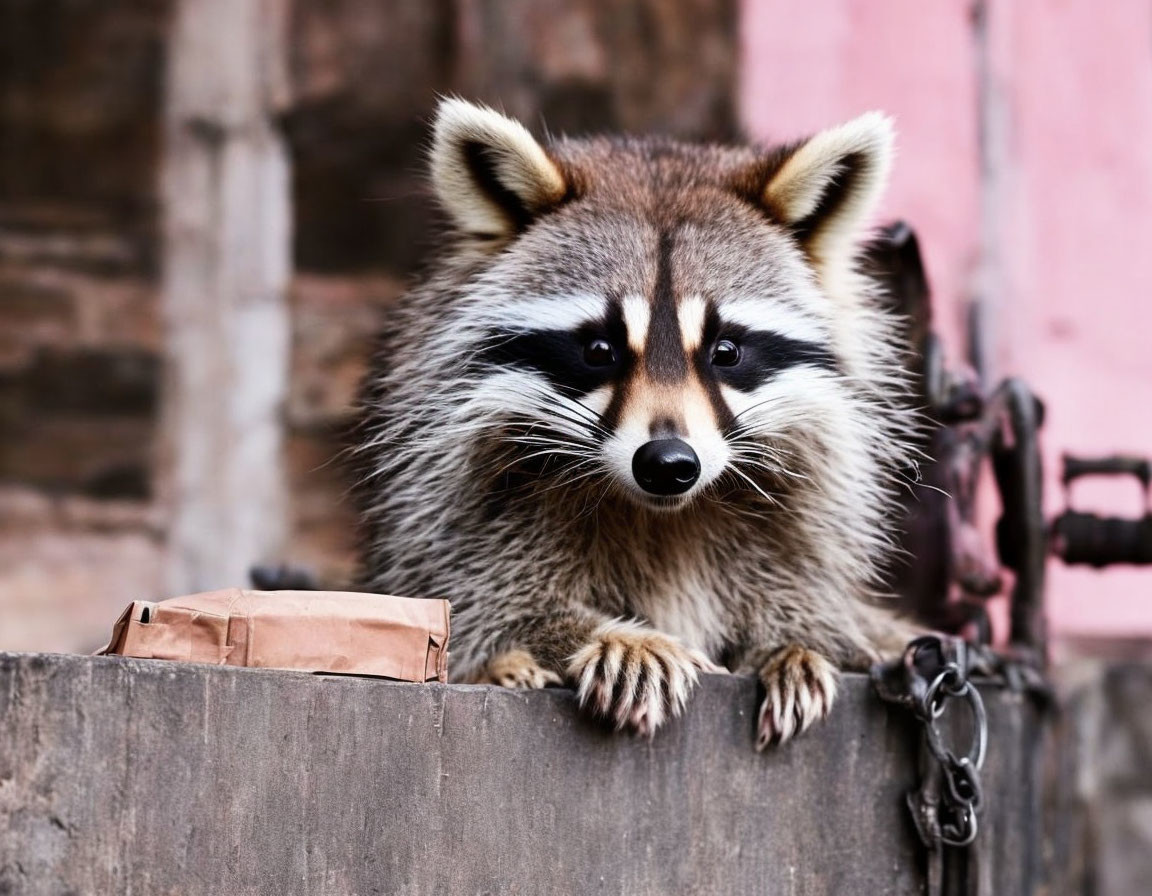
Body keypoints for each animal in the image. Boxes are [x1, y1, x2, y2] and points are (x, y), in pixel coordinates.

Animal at [354, 97, 921, 741]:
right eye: (600, 349)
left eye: (726, 351)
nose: (668, 464)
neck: (660, 515)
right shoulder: (447, 497)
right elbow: (482, 593)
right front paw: (602, 635)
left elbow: (796, 567)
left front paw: (793, 634)